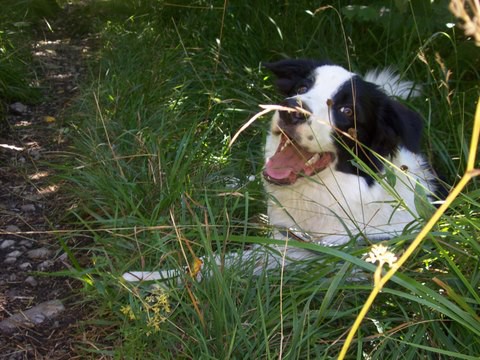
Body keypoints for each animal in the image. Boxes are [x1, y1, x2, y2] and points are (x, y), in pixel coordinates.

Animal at [123, 59, 436, 284]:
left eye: (346, 110)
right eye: (302, 88)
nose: (290, 109)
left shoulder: (323, 256)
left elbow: (225, 263)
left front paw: (154, 279)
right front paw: (149, 276)